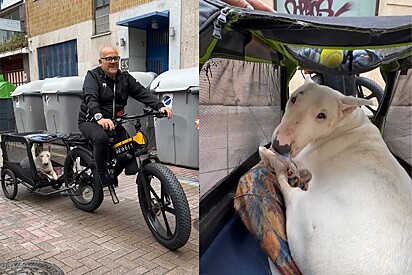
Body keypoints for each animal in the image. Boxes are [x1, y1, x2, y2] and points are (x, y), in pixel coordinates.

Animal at [266, 78, 410, 275]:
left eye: (322, 116)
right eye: (293, 99)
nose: (280, 145)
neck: (346, 122)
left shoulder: (303, 158)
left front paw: (275, 156)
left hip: (307, 213)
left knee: (287, 187)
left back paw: (271, 159)